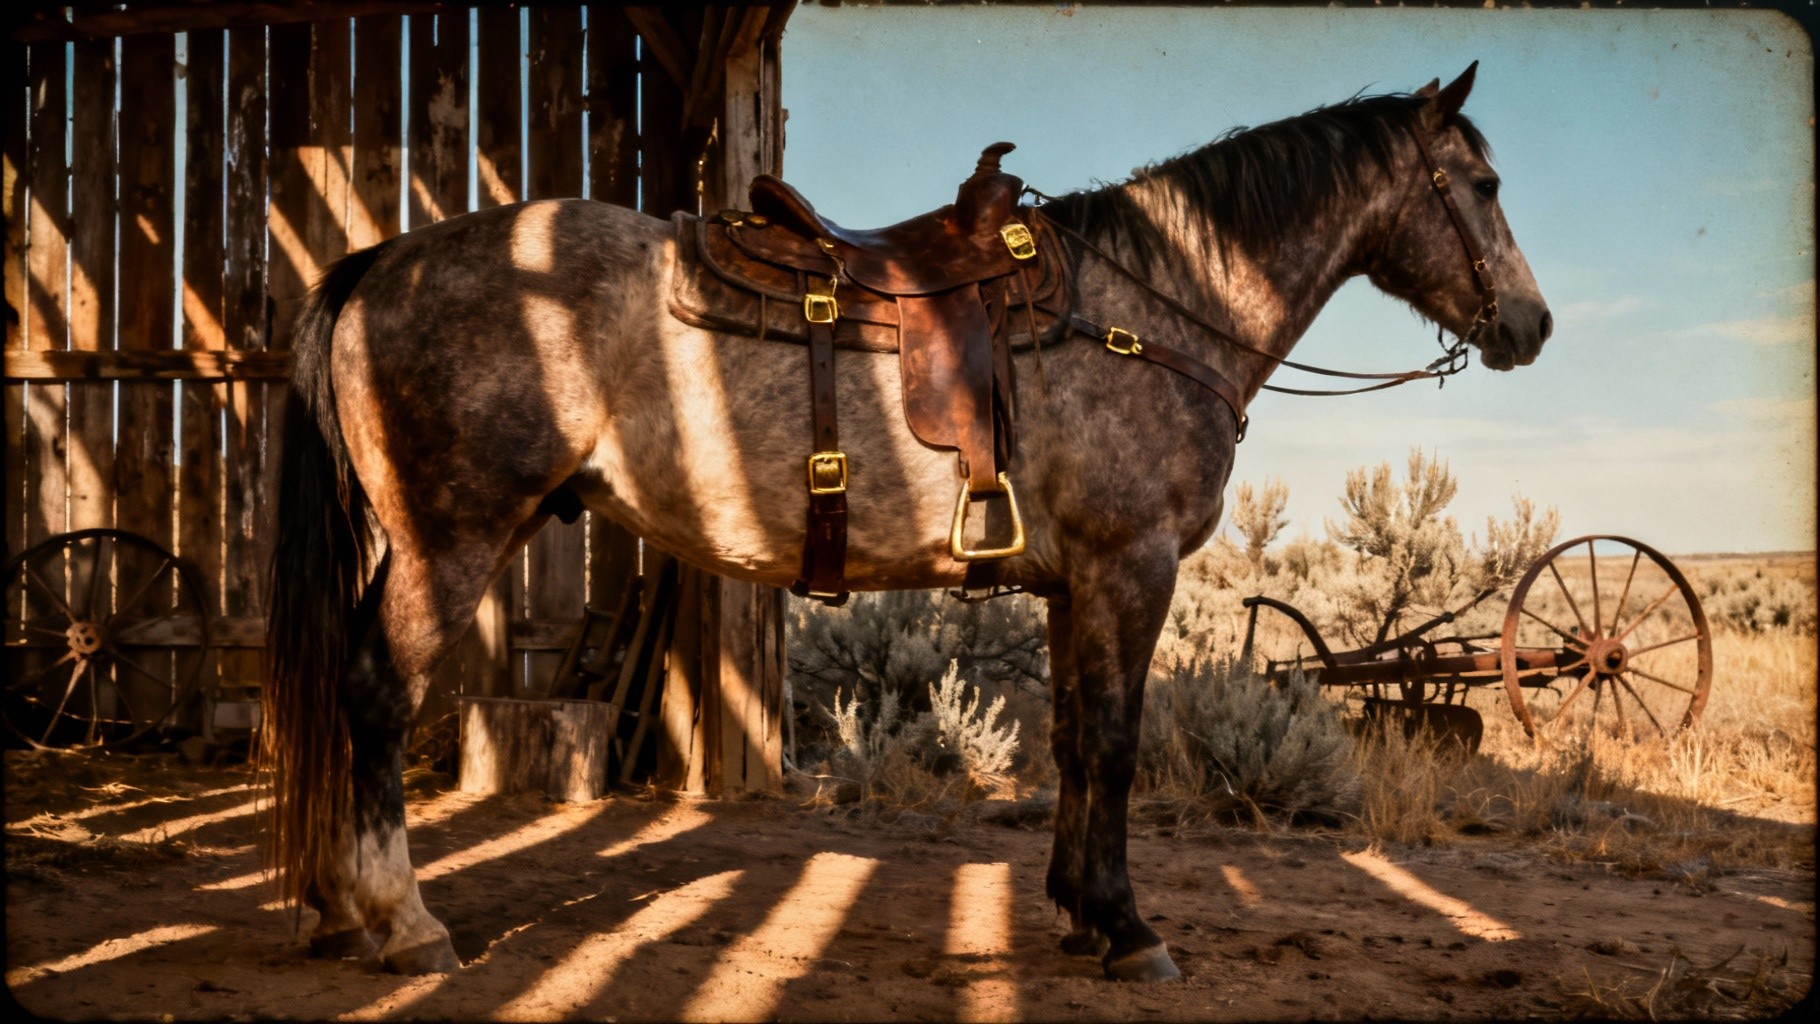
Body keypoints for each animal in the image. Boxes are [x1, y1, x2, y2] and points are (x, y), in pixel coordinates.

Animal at [263, 64, 1550, 980]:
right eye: (1483, 188)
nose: (1530, 325)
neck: (1149, 307)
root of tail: (382, 260)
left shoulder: (1072, 583)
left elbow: (1072, 739)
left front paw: (1079, 912)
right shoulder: (1127, 566)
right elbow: (1115, 743)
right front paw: (1128, 927)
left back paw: (334, 910)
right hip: (451, 536)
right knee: (375, 691)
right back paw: (400, 922)